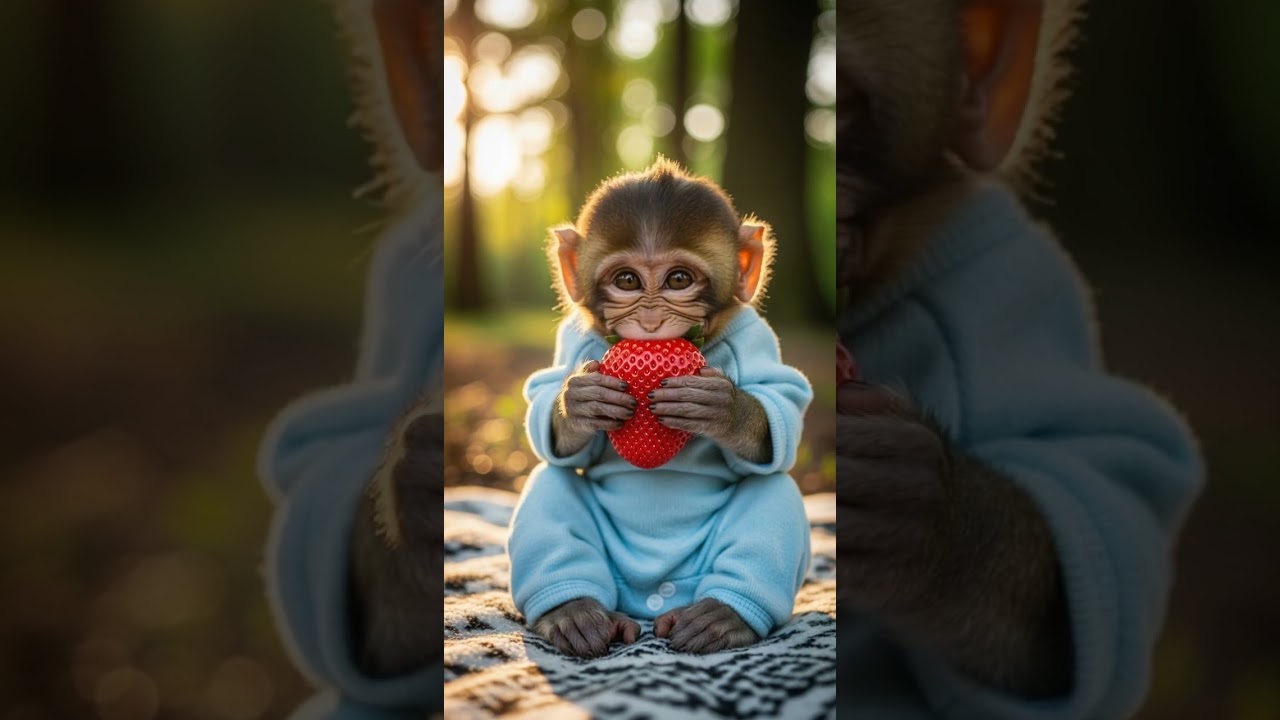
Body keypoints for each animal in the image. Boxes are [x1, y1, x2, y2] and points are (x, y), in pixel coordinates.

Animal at [506, 157, 814, 658]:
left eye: (678, 280)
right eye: (627, 281)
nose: (650, 321)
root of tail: (650, 601)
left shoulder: (755, 337)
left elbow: (784, 403)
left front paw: (722, 408)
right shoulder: (575, 340)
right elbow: (546, 405)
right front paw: (579, 402)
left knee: (774, 490)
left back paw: (722, 614)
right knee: (549, 481)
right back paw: (573, 610)